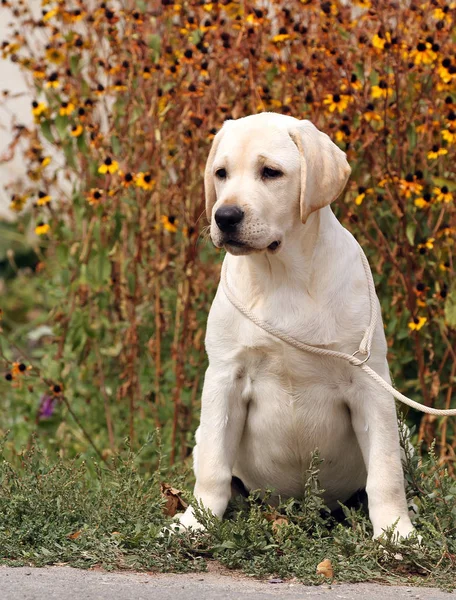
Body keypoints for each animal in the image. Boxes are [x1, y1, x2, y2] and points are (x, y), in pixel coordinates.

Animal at [176, 111, 416, 540]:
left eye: (271, 172)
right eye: (220, 173)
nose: (224, 216)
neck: (281, 274)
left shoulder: (370, 382)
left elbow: (385, 471)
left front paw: (396, 533)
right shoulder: (224, 376)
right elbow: (214, 468)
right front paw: (197, 521)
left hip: (403, 433)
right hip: (203, 435)